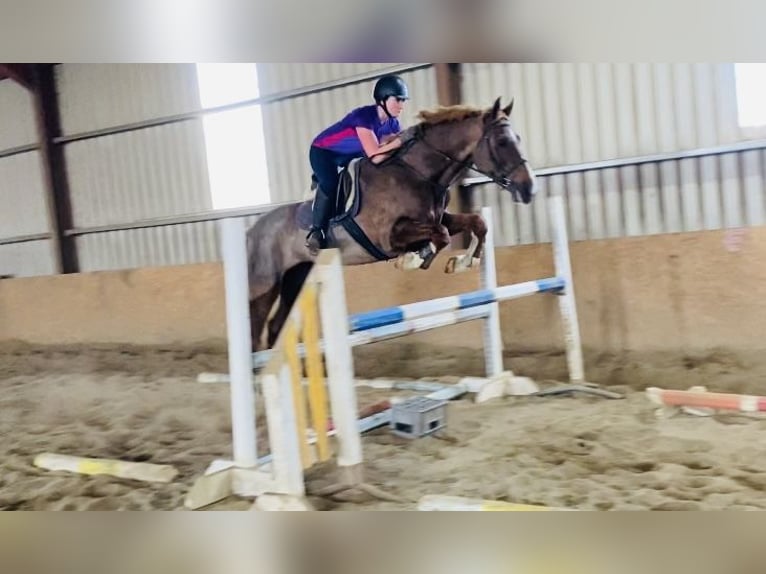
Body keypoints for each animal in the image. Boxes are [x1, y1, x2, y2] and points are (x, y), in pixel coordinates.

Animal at [244, 95, 536, 352]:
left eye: (519, 139)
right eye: (502, 142)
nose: (529, 189)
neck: (419, 174)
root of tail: (251, 231)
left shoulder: (437, 218)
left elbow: (475, 223)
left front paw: (463, 262)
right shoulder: (388, 238)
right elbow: (440, 235)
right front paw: (413, 259)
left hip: (296, 279)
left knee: (275, 326)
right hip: (264, 287)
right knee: (256, 331)